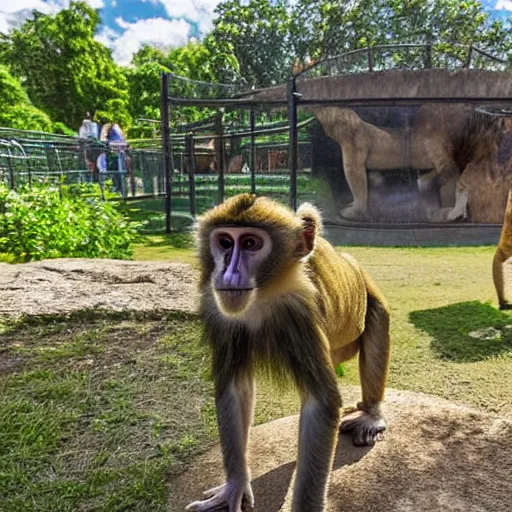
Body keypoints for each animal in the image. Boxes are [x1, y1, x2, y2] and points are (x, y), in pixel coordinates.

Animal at [186, 194, 390, 510]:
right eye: (225, 242)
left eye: (250, 243)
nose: (228, 274)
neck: (266, 295)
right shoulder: (219, 310)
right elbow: (235, 388)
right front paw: (235, 486)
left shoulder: (301, 311)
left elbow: (321, 405)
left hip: (367, 295)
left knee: (378, 321)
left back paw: (371, 414)